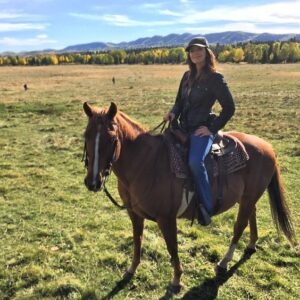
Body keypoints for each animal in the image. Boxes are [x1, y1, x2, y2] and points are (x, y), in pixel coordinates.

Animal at [82, 101, 296, 290]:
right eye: (86, 135)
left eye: (112, 139)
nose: (93, 182)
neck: (145, 163)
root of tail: (267, 146)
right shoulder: (134, 214)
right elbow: (138, 239)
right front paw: (132, 269)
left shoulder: (166, 218)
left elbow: (172, 247)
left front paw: (177, 279)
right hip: (248, 197)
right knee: (252, 214)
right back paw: (251, 244)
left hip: (249, 197)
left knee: (239, 225)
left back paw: (224, 261)